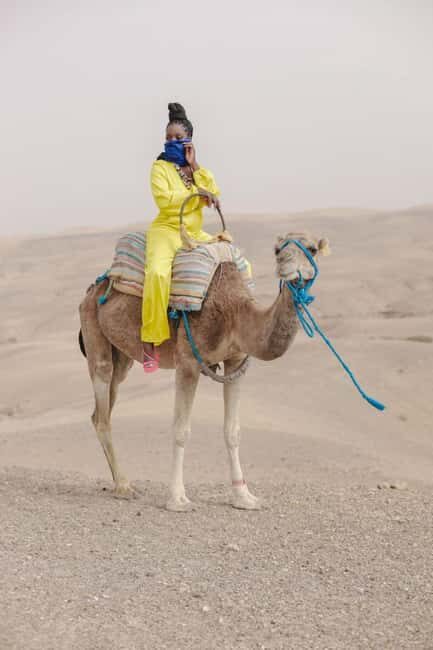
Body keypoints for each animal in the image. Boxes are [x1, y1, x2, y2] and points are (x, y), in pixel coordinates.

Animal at [78, 231, 330, 511]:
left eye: (311, 249)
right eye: (277, 250)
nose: (286, 266)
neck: (235, 315)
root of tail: (94, 289)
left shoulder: (236, 360)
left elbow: (232, 431)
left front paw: (244, 497)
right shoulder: (188, 361)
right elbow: (181, 430)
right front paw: (178, 499)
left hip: (121, 356)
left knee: (103, 407)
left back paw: (119, 483)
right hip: (93, 331)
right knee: (102, 407)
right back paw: (123, 486)